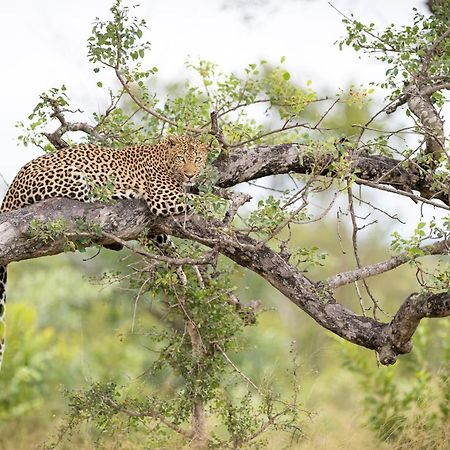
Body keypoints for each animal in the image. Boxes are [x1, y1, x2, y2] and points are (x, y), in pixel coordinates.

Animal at [0, 134, 207, 370]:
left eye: (198, 159)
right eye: (182, 158)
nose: (190, 174)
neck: (165, 159)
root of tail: (10, 191)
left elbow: (165, 242)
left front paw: (181, 270)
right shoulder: (163, 198)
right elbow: (201, 201)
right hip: (75, 177)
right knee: (89, 197)